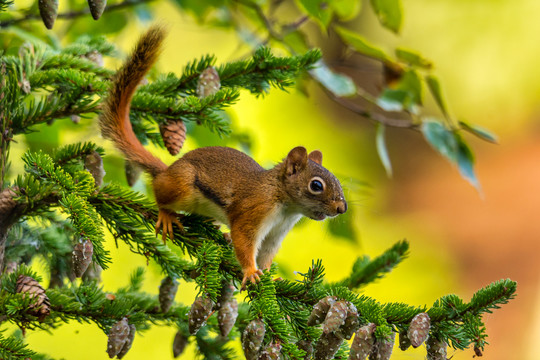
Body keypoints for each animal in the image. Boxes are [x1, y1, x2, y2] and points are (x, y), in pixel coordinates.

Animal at [98, 25, 348, 286]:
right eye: (316, 185)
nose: (342, 208)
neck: (286, 204)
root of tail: (169, 170)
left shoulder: (276, 233)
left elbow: (267, 255)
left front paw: (272, 277)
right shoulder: (254, 210)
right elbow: (244, 241)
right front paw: (251, 272)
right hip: (181, 186)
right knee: (160, 193)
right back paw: (167, 215)